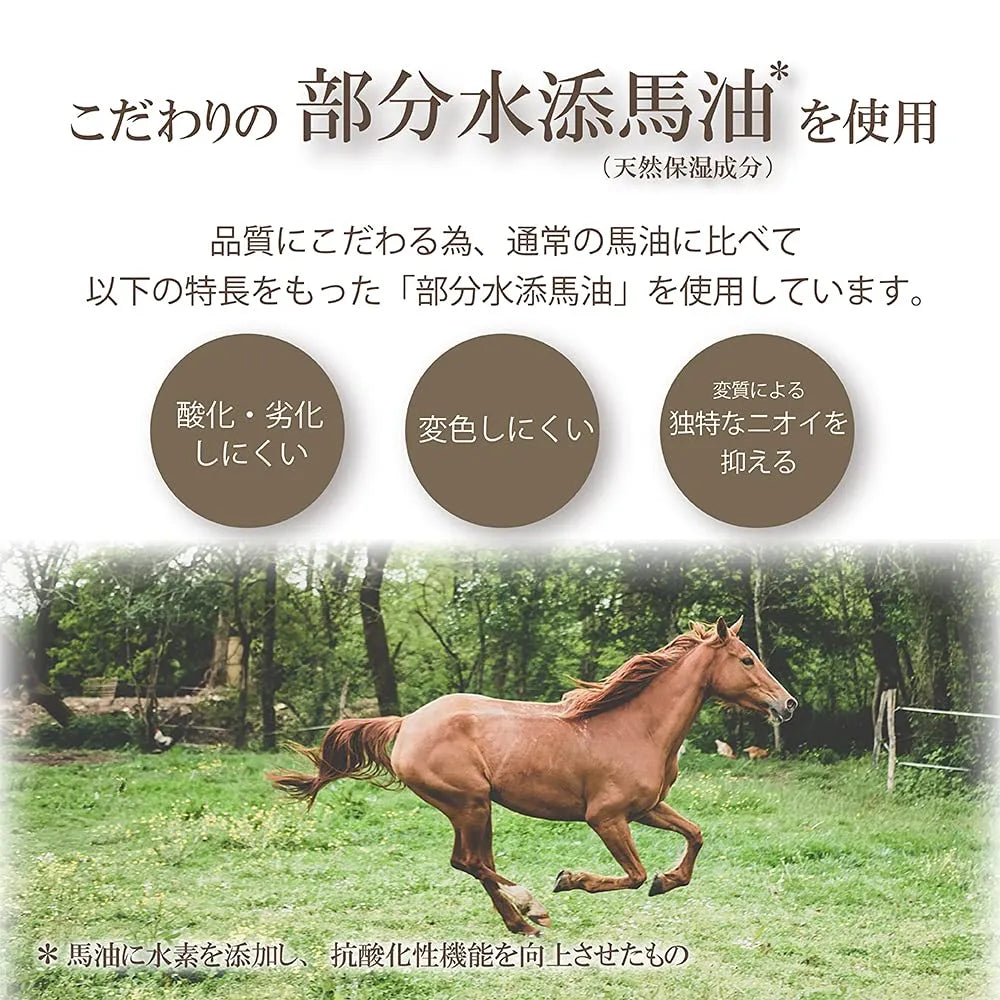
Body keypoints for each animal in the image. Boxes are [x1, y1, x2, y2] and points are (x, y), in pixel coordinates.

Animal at [267, 615, 797, 936]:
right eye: (747, 659)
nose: (787, 703)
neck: (637, 727)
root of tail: (407, 723)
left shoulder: (646, 809)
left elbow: (696, 834)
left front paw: (670, 881)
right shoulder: (606, 817)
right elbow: (633, 874)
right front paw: (571, 879)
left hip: (473, 809)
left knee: (472, 862)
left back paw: (520, 923)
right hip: (470, 803)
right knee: (471, 862)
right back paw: (531, 906)